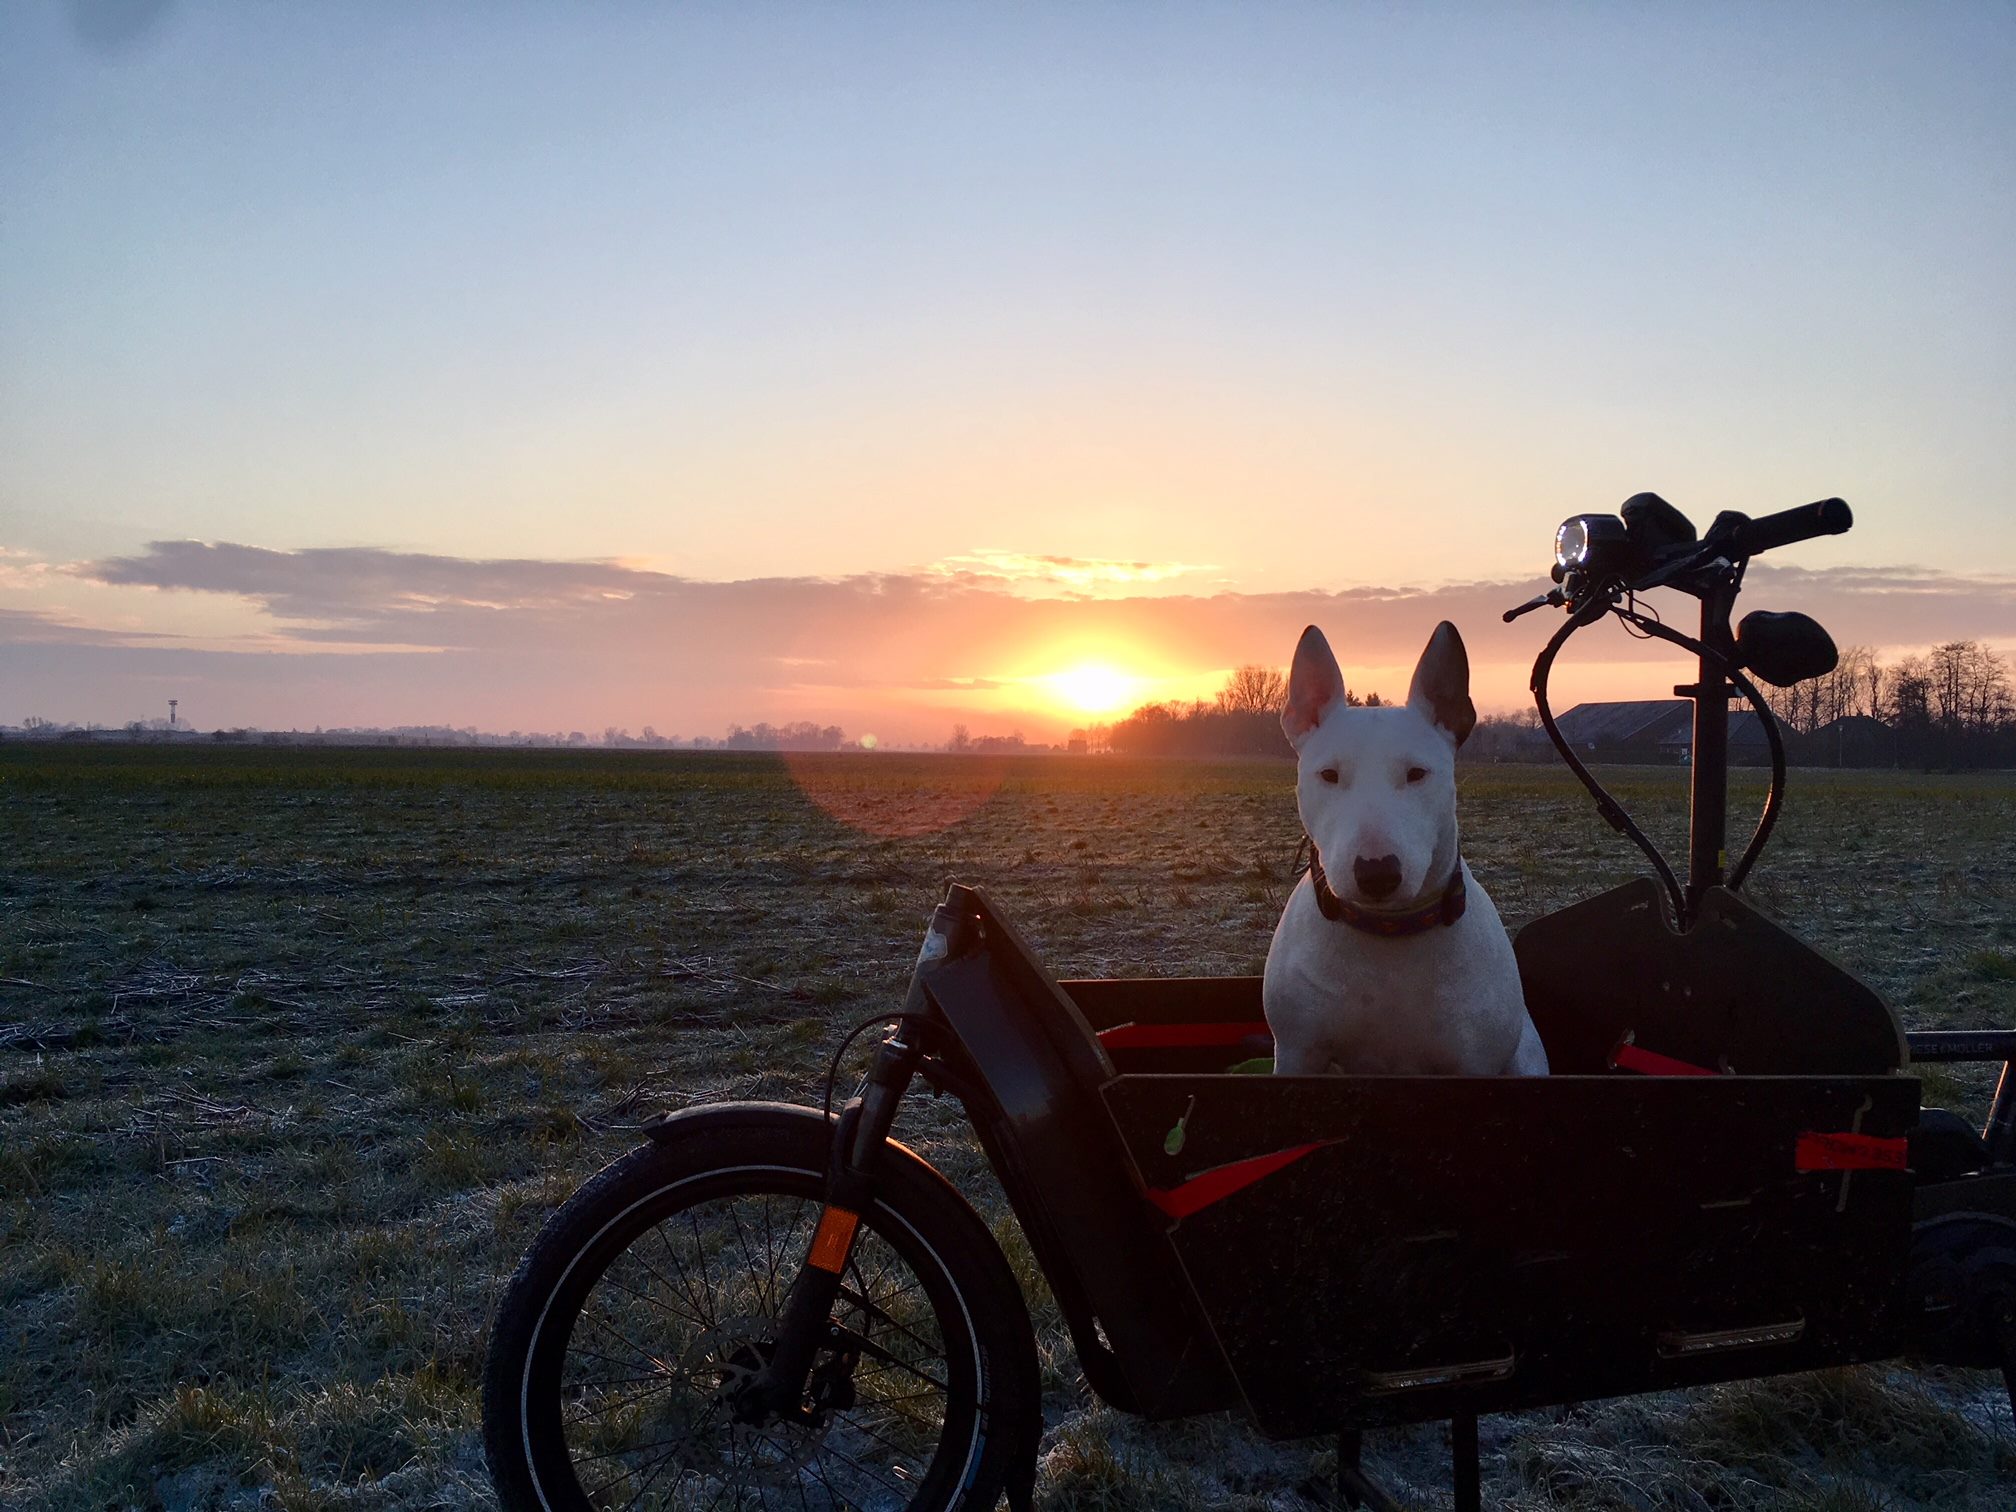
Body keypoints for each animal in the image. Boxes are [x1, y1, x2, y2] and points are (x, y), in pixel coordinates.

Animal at [1266, 624, 1548, 1080]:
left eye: (1417, 773)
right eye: (1328, 774)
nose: (1377, 873)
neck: (1388, 934)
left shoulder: (1476, 1065)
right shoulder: (1297, 1052)